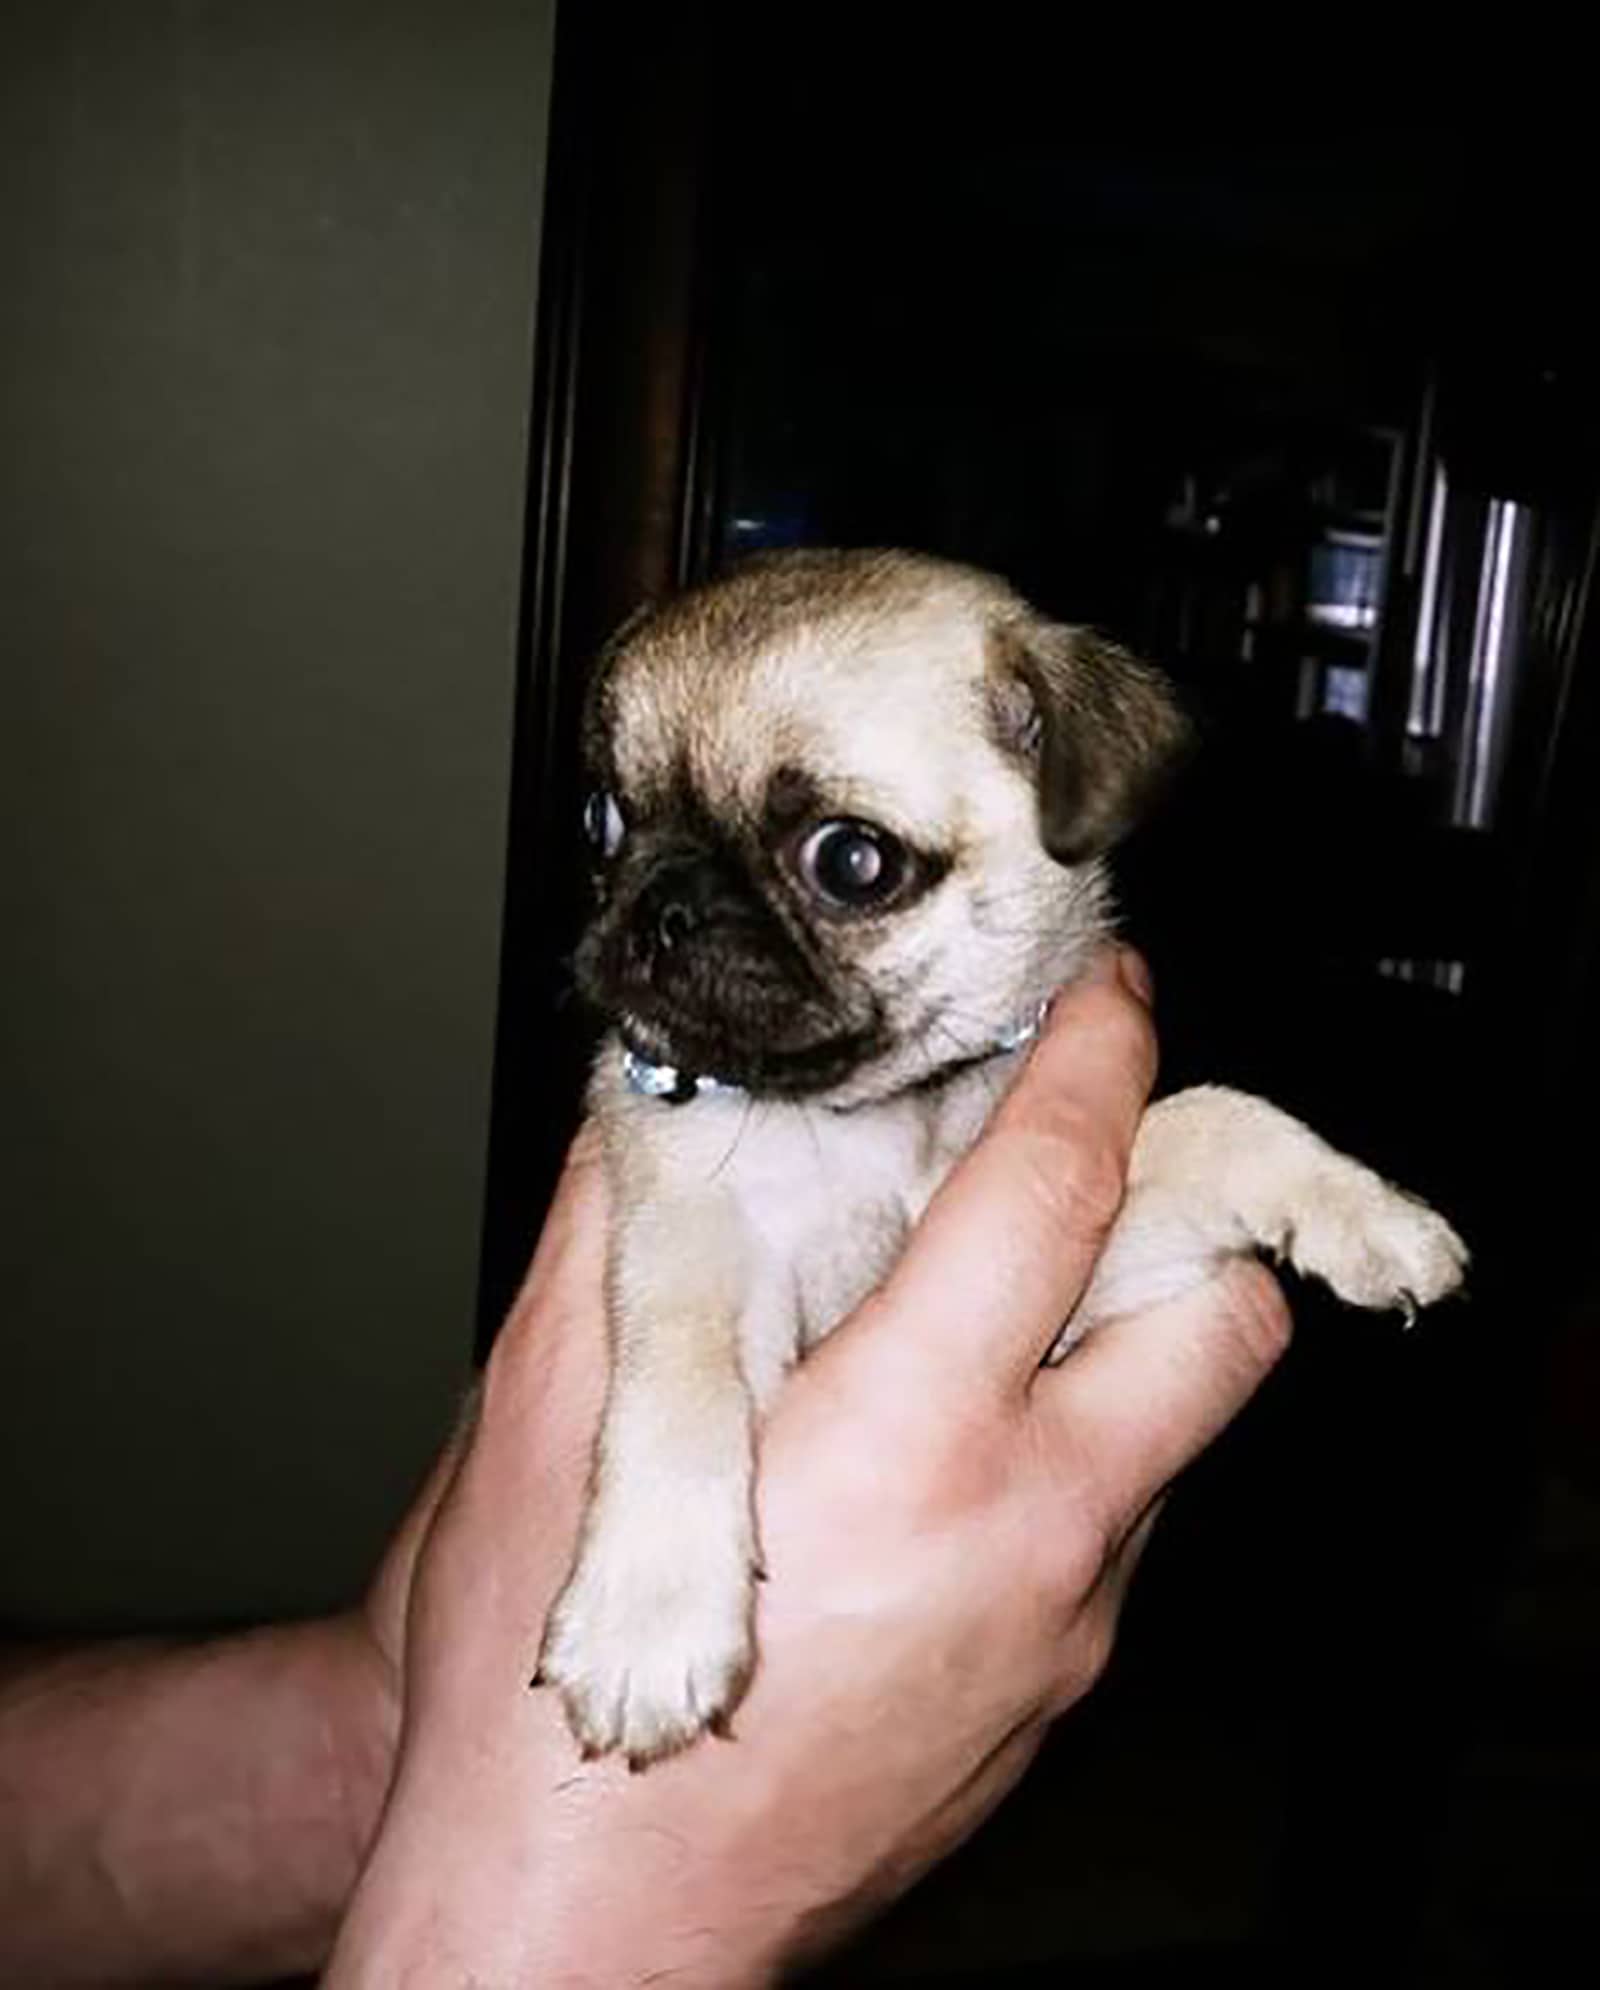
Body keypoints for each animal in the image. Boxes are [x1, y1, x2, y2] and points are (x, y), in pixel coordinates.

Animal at [533, 545, 1464, 1759]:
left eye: (850, 862)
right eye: (600, 820)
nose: (661, 906)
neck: (886, 1116)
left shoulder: (1100, 1273)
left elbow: (1215, 1116)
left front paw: (1370, 1213)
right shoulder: (693, 1241)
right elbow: (678, 1386)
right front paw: (644, 1620)